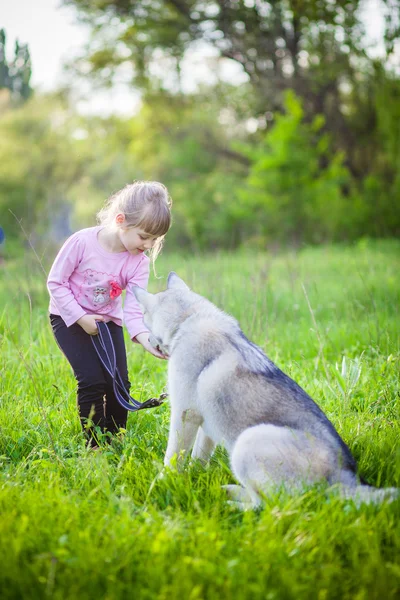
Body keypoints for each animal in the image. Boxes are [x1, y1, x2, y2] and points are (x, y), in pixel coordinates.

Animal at [134, 274, 396, 508]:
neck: (188, 319)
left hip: (248, 441)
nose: (144, 339)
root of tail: (344, 478)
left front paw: (162, 483)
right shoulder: (206, 423)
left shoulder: (185, 414)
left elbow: (172, 458)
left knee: (268, 505)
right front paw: (195, 477)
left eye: (144, 316)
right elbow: (199, 457)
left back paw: (232, 503)